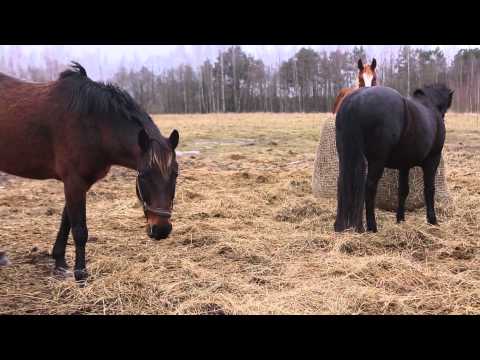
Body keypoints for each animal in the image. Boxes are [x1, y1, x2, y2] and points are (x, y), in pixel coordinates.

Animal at [0, 62, 180, 282]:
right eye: (144, 175)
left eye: (176, 174)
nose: (161, 229)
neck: (94, 125)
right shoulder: (74, 181)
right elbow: (79, 229)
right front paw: (81, 274)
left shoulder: (80, 183)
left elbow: (66, 221)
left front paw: (60, 262)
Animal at [334, 83, 454, 233]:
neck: (429, 105)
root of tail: (356, 100)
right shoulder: (432, 160)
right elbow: (429, 189)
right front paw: (432, 220)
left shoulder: (404, 165)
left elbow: (403, 190)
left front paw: (400, 219)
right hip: (377, 161)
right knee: (369, 188)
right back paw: (372, 226)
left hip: (344, 156)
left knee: (341, 183)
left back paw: (339, 226)